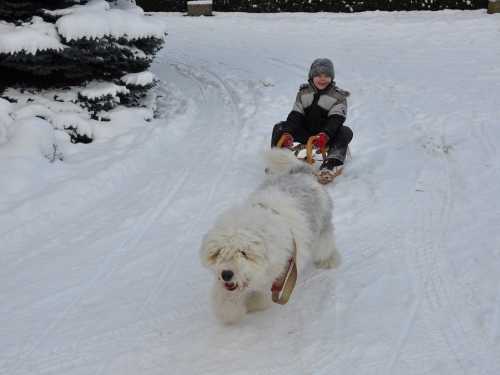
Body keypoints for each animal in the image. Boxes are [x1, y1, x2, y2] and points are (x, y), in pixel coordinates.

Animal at [199, 148, 340, 324]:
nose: (226, 274)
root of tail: (300, 172)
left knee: (325, 246)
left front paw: (254, 304)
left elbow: (261, 293)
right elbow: (226, 298)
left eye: (243, 253)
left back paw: (329, 260)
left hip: (321, 230)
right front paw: (229, 312)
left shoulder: (279, 271)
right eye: (219, 252)